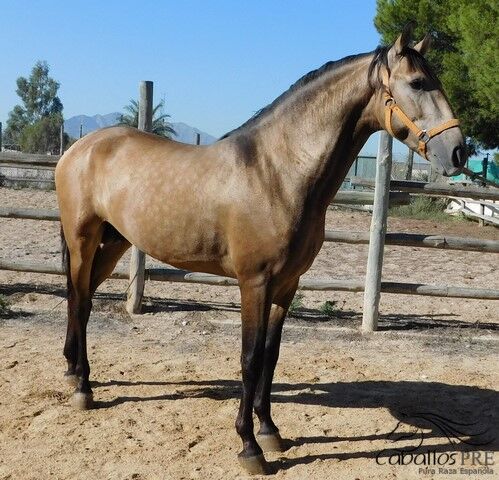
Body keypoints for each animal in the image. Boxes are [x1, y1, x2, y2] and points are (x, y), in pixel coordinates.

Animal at [56, 27, 466, 476]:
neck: (277, 172)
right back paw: (82, 388)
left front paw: (270, 432)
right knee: (79, 300)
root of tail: (79, 148)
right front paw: (249, 447)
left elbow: (271, 356)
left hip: (114, 244)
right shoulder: (254, 283)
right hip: (83, 240)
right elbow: (250, 358)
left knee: (82, 300)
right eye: (418, 83)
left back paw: (75, 373)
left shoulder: (286, 285)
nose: (459, 152)